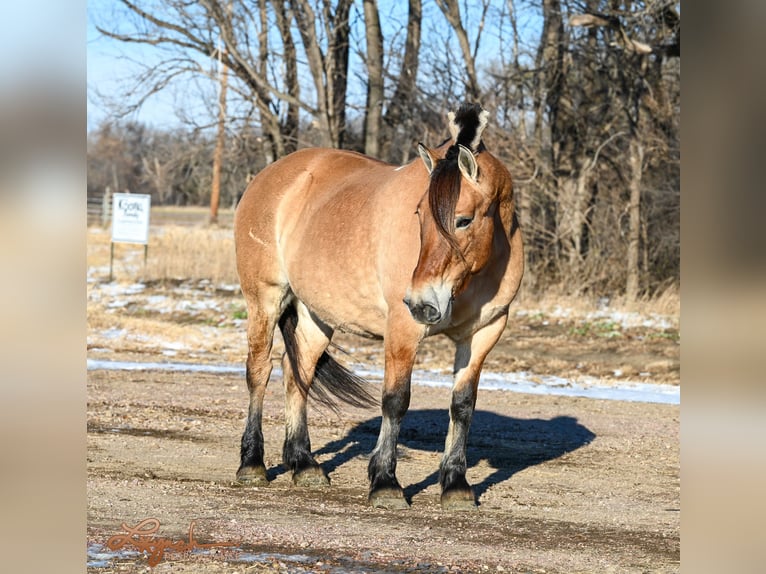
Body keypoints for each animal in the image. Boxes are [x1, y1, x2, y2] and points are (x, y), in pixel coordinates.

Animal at [234, 102, 524, 508]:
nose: (423, 302)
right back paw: (252, 464)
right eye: (419, 216)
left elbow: (463, 405)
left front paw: (456, 484)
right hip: (264, 299)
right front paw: (386, 482)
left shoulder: (483, 333)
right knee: (258, 372)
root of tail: (268, 176)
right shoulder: (404, 328)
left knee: (298, 374)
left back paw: (304, 465)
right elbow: (395, 400)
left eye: (463, 220)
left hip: (316, 316)